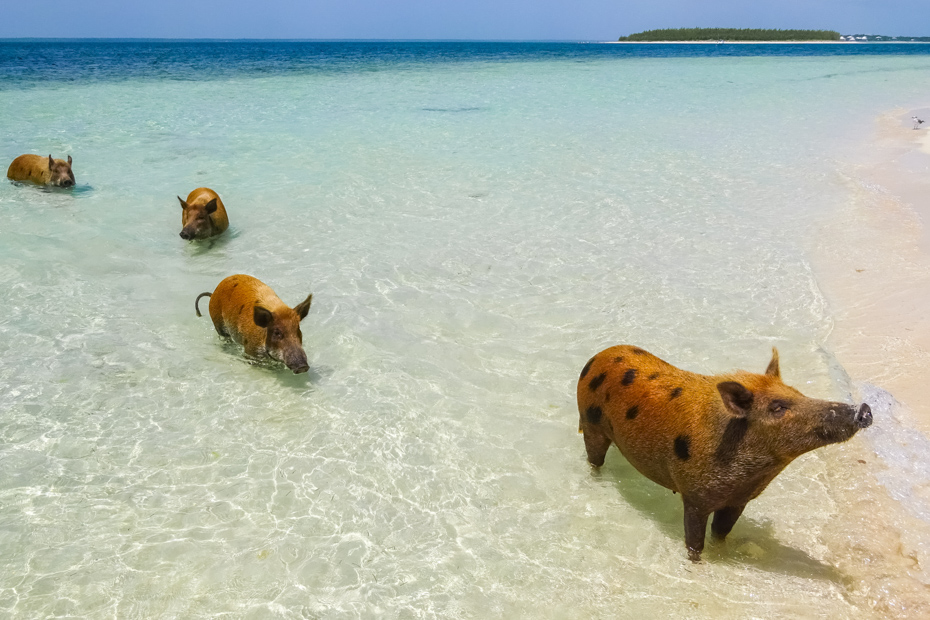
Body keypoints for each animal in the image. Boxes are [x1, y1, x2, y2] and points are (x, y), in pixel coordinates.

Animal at [576, 345, 872, 562]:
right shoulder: (694, 496)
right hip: (590, 422)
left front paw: (725, 552)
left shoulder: (738, 501)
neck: (752, 474)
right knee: (594, 458)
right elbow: (694, 542)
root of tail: (598, 356)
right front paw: (696, 563)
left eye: (798, 393)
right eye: (777, 407)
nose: (864, 409)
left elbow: (721, 533)